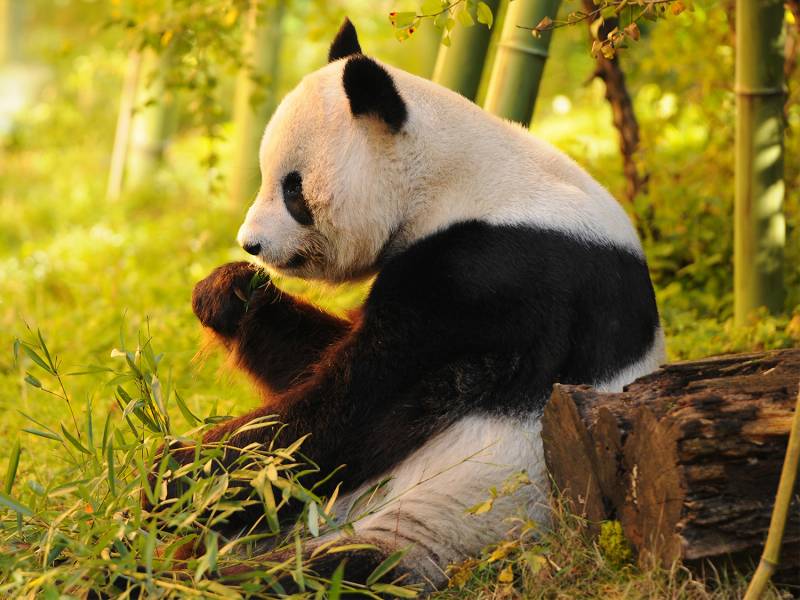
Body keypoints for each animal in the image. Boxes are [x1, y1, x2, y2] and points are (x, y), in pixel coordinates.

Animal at [182, 18, 664, 590]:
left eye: (293, 191)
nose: (251, 243)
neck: (455, 177)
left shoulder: (492, 274)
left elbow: (360, 405)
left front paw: (177, 473)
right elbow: (319, 362)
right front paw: (228, 293)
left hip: (457, 515)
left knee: (317, 571)